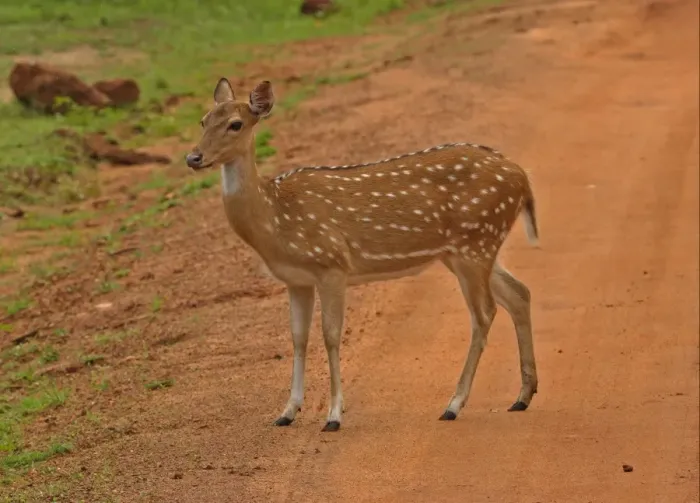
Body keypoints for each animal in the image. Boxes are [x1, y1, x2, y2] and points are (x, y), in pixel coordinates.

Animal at [185, 78, 540, 432]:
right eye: (203, 120)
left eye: (235, 124)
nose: (193, 157)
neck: (275, 218)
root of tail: (523, 178)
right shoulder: (296, 279)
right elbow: (298, 338)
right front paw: (286, 412)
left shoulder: (331, 264)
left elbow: (330, 335)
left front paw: (333, 415)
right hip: (467, 250)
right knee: (519, 292)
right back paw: (522, 397)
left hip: (476, 241)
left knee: (484, 313)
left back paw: (453, 405)